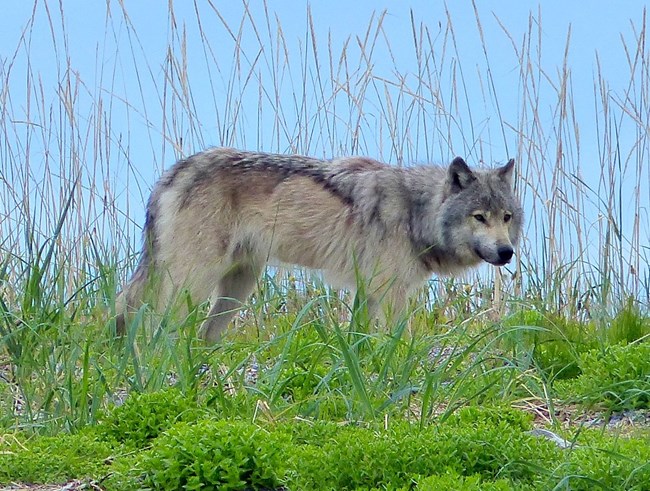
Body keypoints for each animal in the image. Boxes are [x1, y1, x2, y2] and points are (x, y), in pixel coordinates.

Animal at [116, 148, 520, 344]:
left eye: (506, 217)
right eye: (479, 217)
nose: (506, 253)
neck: (414, 211)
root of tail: (175, 172)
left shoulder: (369, 293)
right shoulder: (389, 293)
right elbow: (399, 340)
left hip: (237, 286)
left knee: (202, 333)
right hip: (192, 282)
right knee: (150, 320)